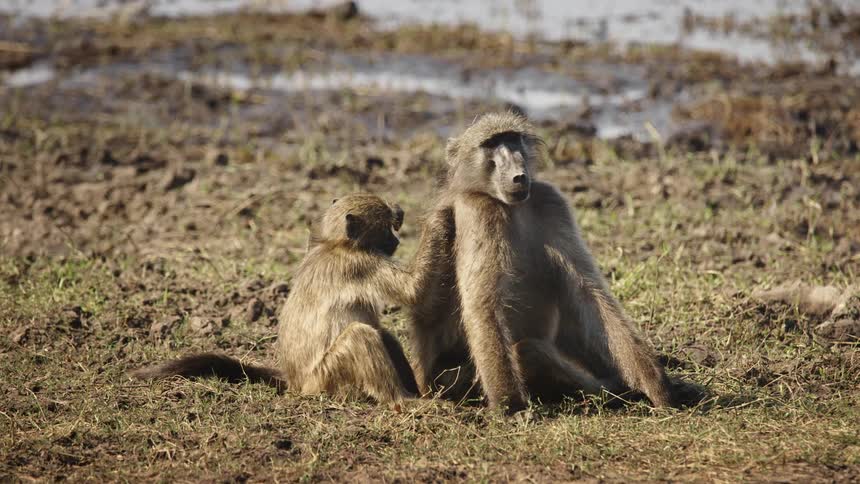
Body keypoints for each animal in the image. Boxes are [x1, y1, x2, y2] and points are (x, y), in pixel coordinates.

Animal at [132, 193, 454, 405]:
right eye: (387, 229)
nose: (397, 240)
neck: (335, 244)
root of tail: (297, 384)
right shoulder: (362, 263)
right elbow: (414, 291)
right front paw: (439, 219)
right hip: (326, 379)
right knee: (361, 335)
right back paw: (404, 401)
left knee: (383, 335)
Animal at [409, 112, 675, 413]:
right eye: (491, 144)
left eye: (513, 139)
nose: (518, 175)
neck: (511, 207)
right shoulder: (480, 213)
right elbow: (482, 302)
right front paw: (511, 405)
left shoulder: (551, 201)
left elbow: (587, 292)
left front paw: (653, 381)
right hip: (453, 378)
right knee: (528, 352)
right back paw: (612, 391)